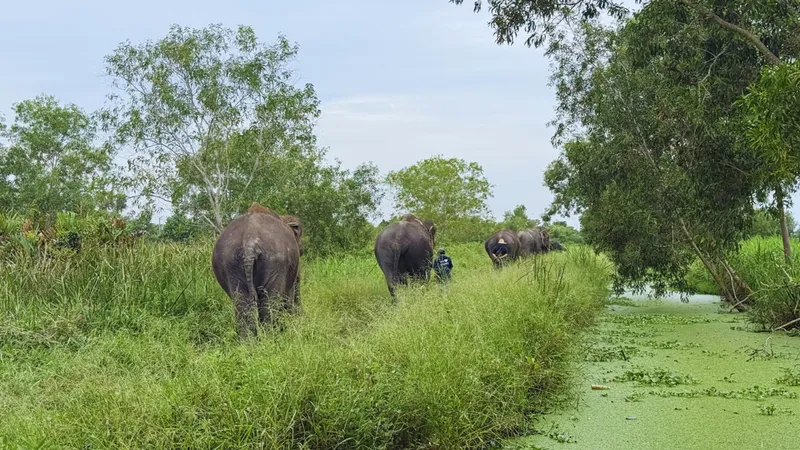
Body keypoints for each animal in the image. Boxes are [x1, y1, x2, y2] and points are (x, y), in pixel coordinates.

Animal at [211, 203, 303, 337]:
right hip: (276, 263)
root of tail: (249, 244)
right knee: (269, 302)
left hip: (230, 264)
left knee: (242, 303)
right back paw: (269, 338)